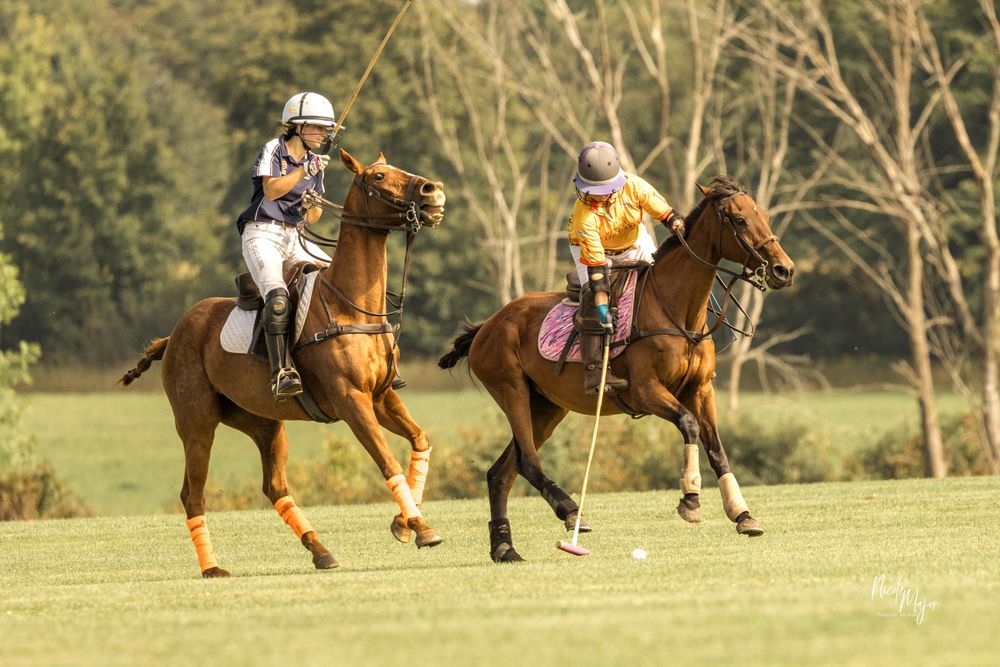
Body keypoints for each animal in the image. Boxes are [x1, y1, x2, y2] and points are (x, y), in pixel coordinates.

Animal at [121, 149, 446, 577]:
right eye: (378, 176)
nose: (433, 191)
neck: (350, 304)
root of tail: (173, 336)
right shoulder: (351, 400)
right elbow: (386, 460)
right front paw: (421, 528)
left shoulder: (380, 396)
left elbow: (420, 440)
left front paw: (403, 524)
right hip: (196, 422)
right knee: (193, 493)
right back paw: (212, 567)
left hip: (263, 421)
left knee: (273, 485)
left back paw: (320, 550)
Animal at [438, 177, 795, 562]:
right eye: (739, 220)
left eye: (763, 215)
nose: (784, 270)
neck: (677, 310)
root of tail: (486, 325)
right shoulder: (645, 390)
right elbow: (688, 425)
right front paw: (690, 500)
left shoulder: (700, 388)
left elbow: (716, 446)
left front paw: (742, 514)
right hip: (511, 390)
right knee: (528, 462)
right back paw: (571, 512)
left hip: (547, 406)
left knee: (501, 472)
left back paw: (505, 548)